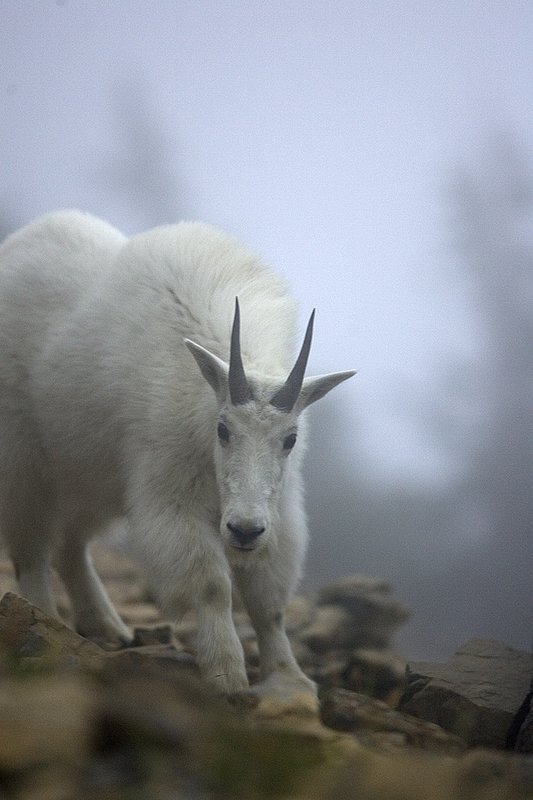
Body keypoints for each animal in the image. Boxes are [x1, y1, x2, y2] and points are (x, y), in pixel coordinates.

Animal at [0, 211, 355, 696]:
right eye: (223, 429)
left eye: (290, 439)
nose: (244, 531)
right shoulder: (172, 494)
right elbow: (213, 586)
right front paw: (227, 675)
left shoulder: (278, 510)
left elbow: (268, 602)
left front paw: (290, 679)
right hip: (24, 461)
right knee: (31, 548)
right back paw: (45, 620)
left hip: (89, 474)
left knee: (70, 546)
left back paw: (107, 627)